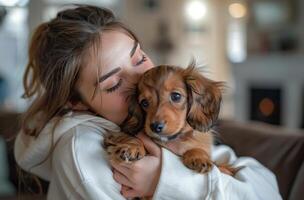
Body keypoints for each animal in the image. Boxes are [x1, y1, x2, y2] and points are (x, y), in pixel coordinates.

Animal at [104, 62, 235, 175]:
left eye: (176, 96)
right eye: (144, 103)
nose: (155, 127)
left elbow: (198, 149)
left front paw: (198, 156)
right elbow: (129, 137)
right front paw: (132, 146)